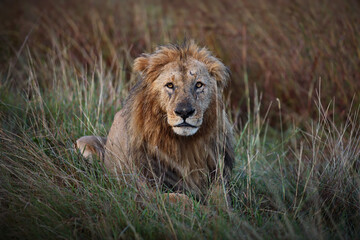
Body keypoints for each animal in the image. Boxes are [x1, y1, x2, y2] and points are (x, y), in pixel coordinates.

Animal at [75, 40, 233, 206]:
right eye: (170, 85)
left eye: (198, 85)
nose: (184, 112)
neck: (184, 144)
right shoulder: (143, 188)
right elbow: (183, 200)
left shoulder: (218, 176)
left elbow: (222, 201)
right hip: (84, 143)